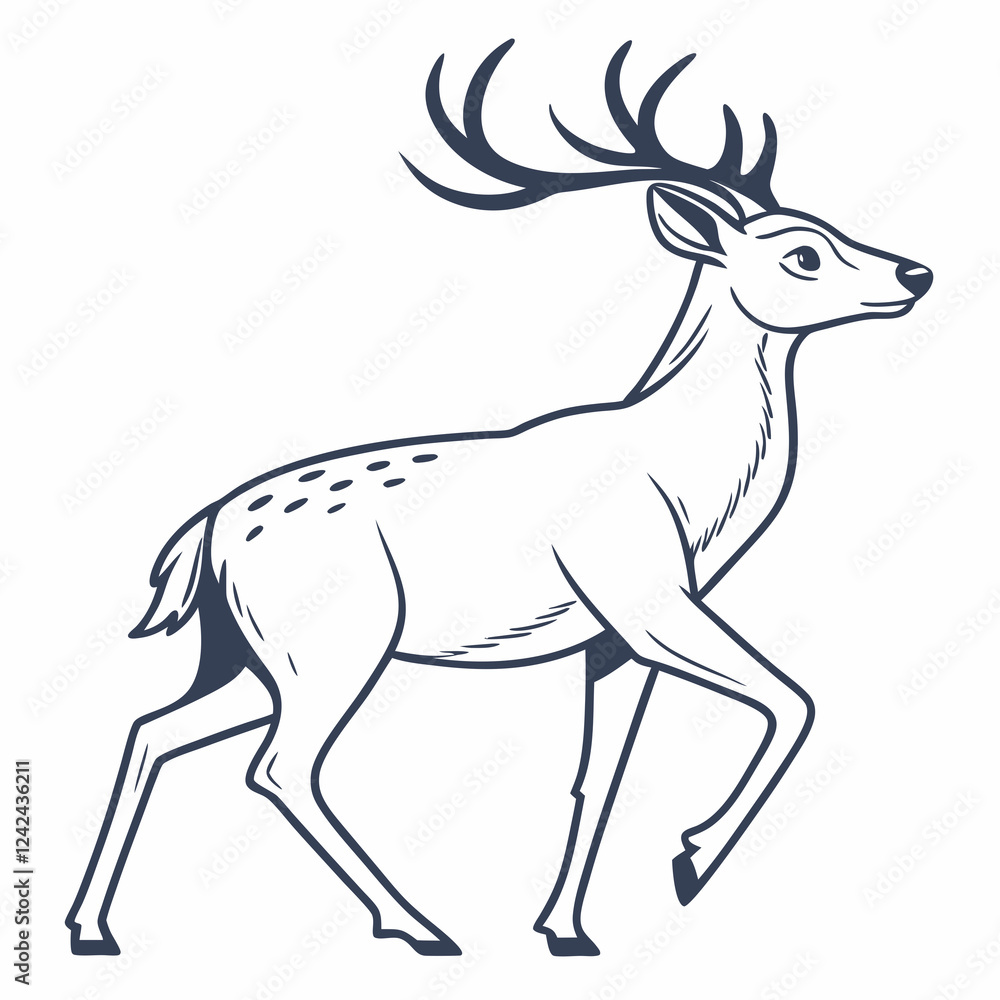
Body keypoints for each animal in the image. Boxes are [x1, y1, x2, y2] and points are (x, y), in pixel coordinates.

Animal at [66, 39, 932, 959]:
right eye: (803, 252)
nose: (917, 272)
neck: (689, 486)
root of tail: (204, 533)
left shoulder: (612, 640)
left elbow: (600, 776)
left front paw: (566, 929)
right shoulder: (644, 596)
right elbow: (792, 699)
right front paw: (690, 859)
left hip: (244, 653)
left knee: (154, 728)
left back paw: (92, 927)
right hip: (332, 645)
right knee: (279, 765)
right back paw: (418, 925)